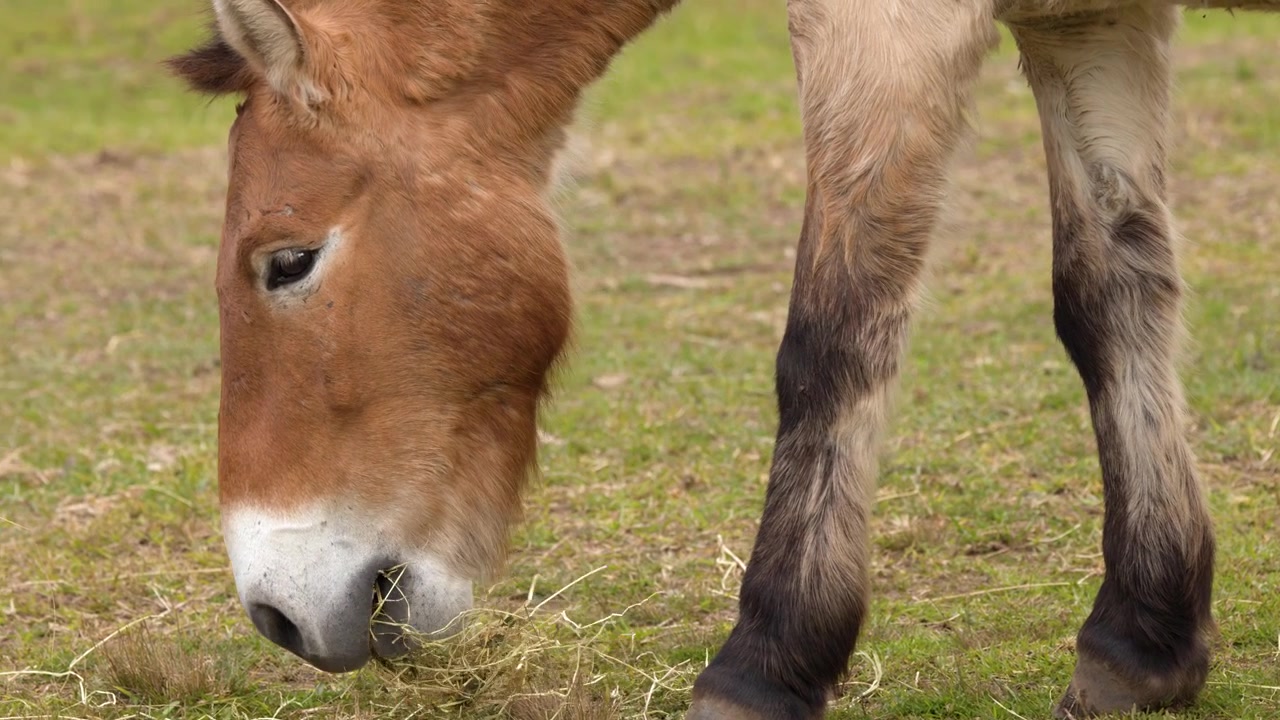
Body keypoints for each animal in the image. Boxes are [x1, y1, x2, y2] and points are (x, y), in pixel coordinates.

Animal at [168, 1, 1277, 717]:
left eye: (286, 262)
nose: (276, 612)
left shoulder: (884, 30)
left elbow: (830, 343)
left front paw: (766, 666)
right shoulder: (1085, 23)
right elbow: (1108, 298)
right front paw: (1143, 637)